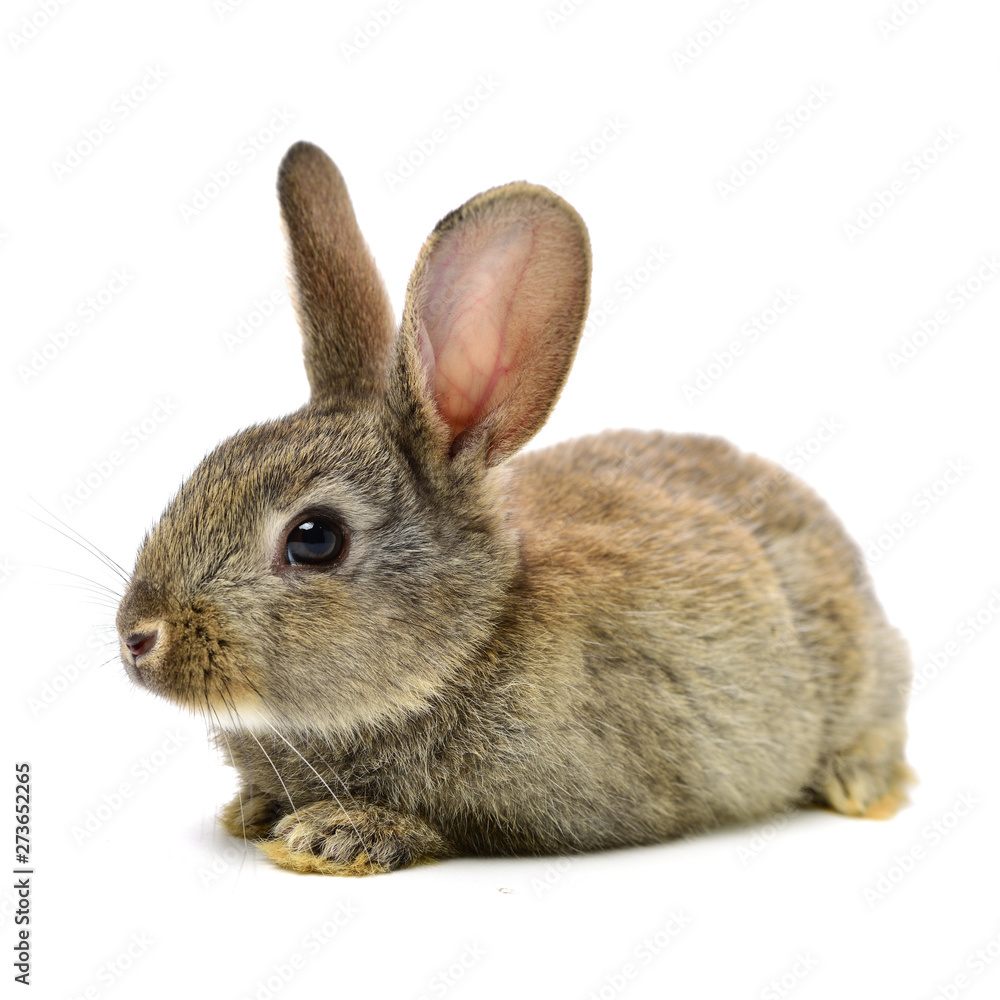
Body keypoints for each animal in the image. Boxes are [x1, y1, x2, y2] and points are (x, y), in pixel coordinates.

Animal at [115, 140, 914, 876]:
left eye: (315, 539)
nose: (137, 637)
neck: (468, 641)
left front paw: (336, 835)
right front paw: (253, 811)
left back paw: (859, 782)